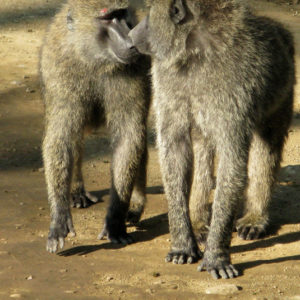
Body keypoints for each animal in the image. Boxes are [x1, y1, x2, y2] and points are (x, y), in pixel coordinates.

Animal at [40, 0, 151, 253]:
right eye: (106, 18)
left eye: (121, 14)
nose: (131, 42)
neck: (95, 59)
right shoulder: (62, 73)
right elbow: (61, 138)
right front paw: (59, 218)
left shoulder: (135, 70)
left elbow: (128, 137)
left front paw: (115, 221)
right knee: (75, 135)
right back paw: (77, 192)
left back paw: (136, 204)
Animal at [129, 0, 296, 278]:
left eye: (150, 12)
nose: (132, 36)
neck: (194, 52)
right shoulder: (166, 77)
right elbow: (175, 149)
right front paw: (183, 245)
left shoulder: (234, 92)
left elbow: (232, 159)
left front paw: (216, 257)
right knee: (203, 148)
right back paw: (197, 221)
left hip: (283, 95)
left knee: (266, 147)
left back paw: (255, 218)